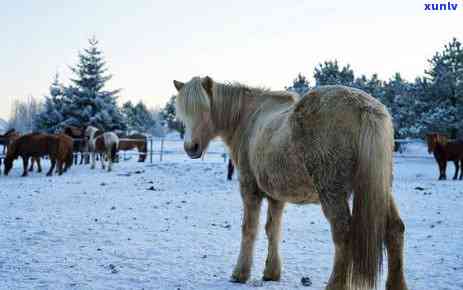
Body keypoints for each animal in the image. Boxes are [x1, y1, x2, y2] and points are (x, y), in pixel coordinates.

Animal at [172, 76, 408, 290]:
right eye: (183, 114)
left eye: (204, 110)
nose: (191, 147)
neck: (248, 119)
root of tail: (364, 107)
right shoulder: (277, 196)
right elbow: (272, 229)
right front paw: (271, 273)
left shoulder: (250, 190)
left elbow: (249, 229)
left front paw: (240, 274)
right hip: (379, 189)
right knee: (395, 230)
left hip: (332, 192)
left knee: (343, 232)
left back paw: (335, 284)